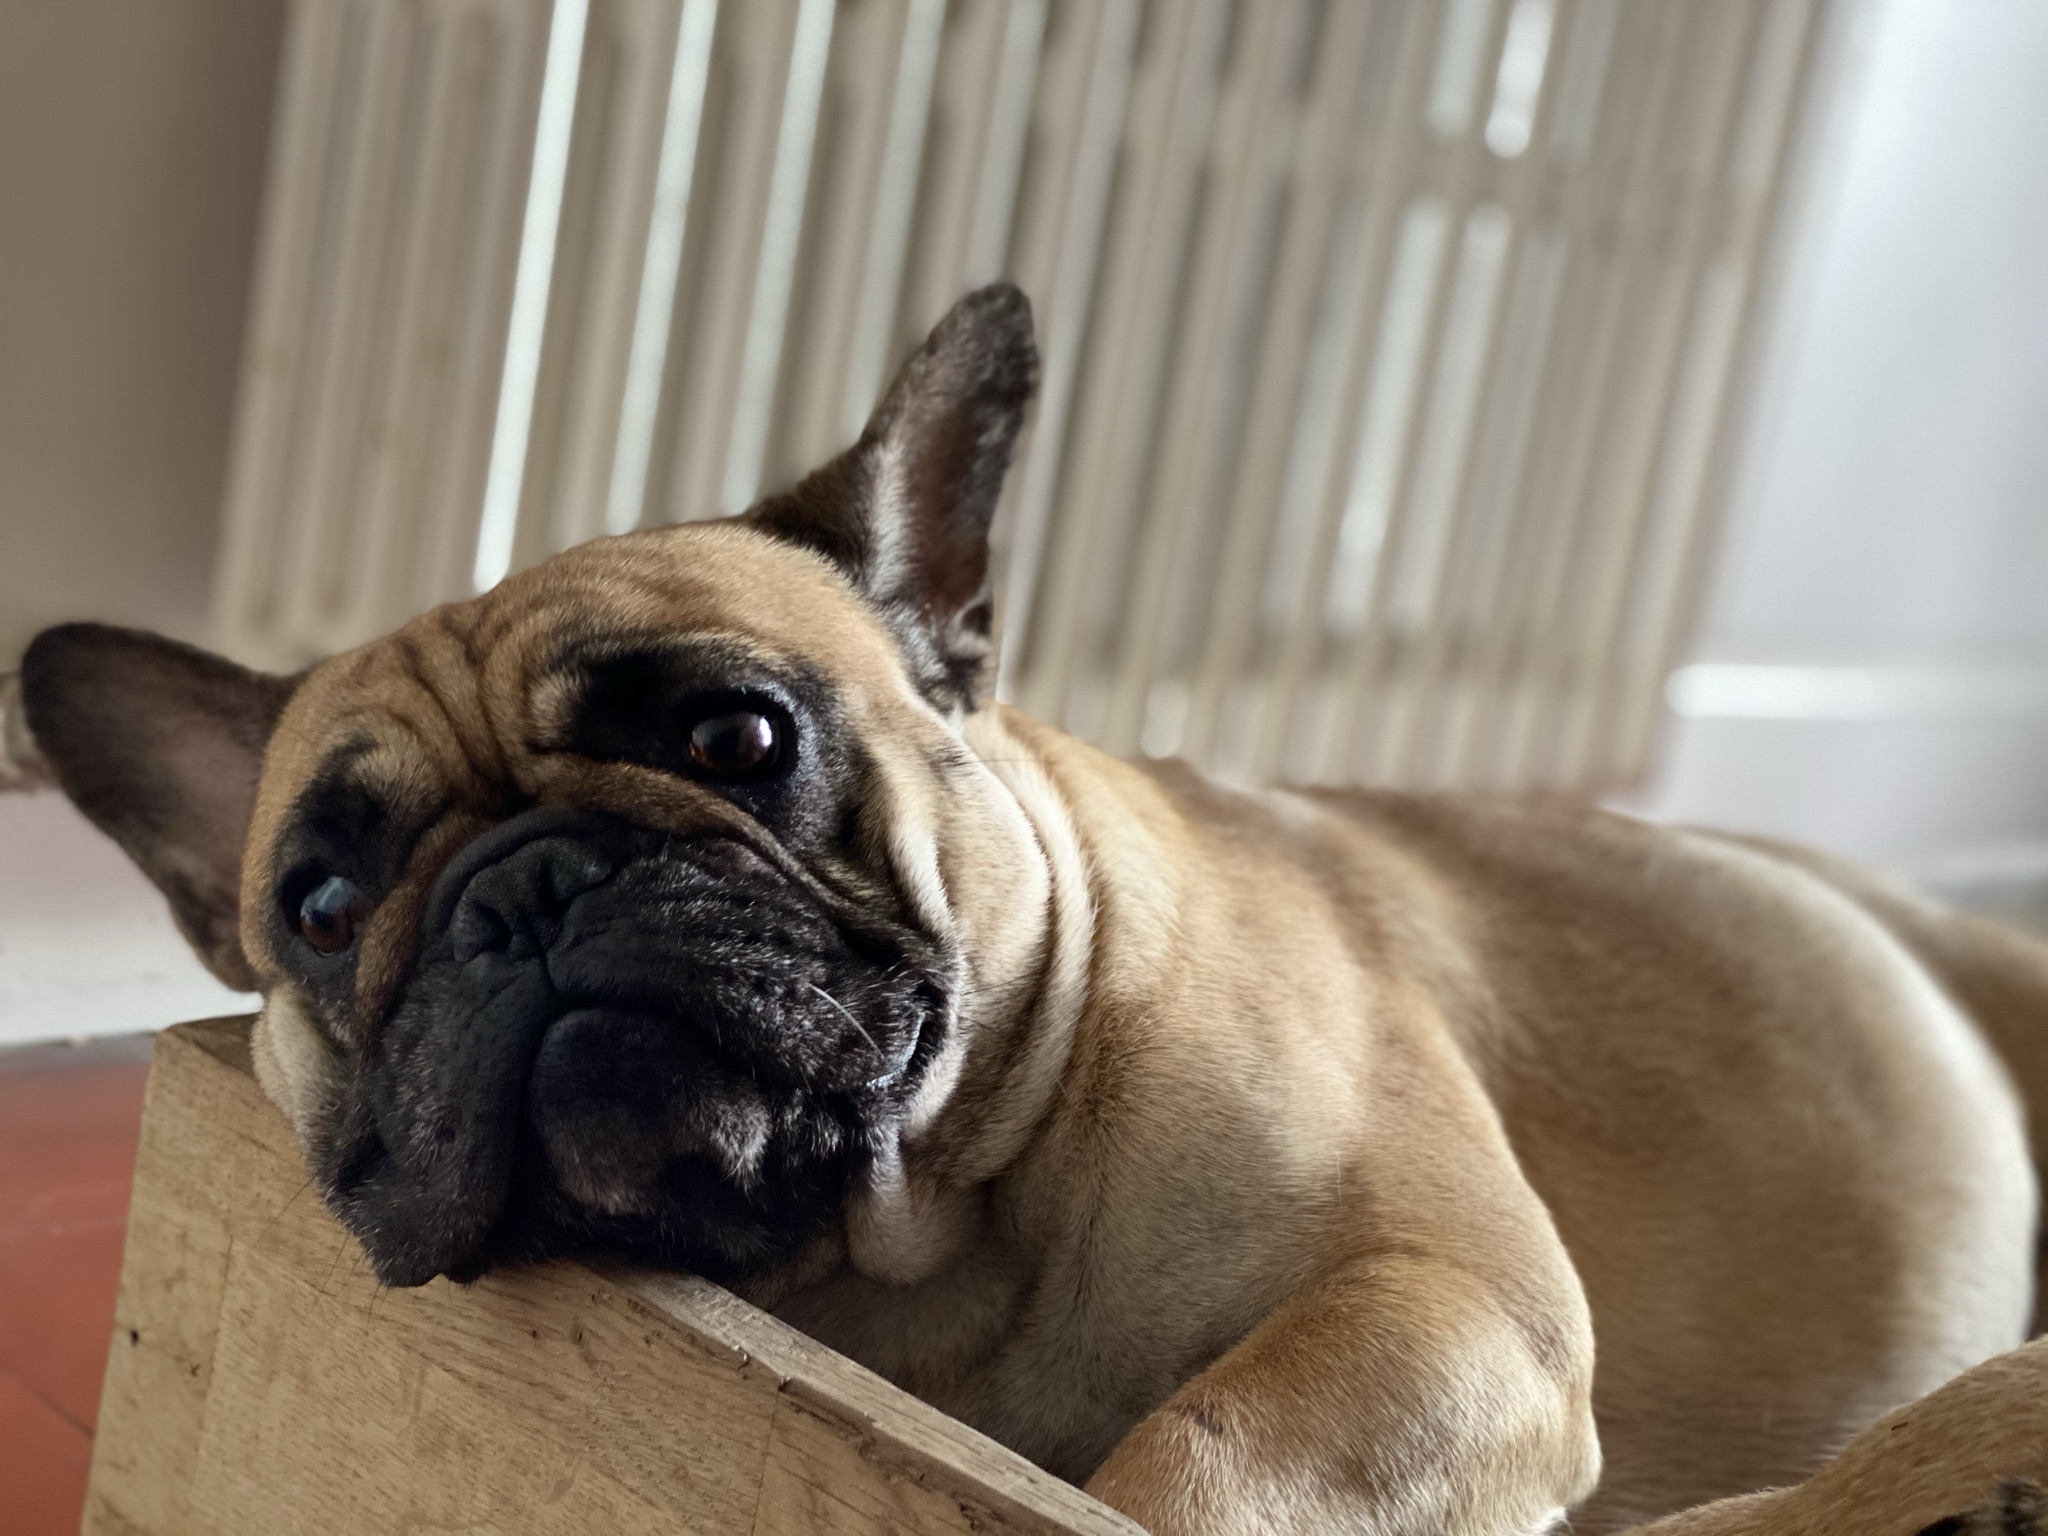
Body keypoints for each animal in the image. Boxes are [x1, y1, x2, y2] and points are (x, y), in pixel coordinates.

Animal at [13, 286, 2046, 1535]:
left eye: (734, 734)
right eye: (321, 901)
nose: (524, 886)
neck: (917, 1262)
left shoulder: (1441, 1303)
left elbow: (1202, 1457)